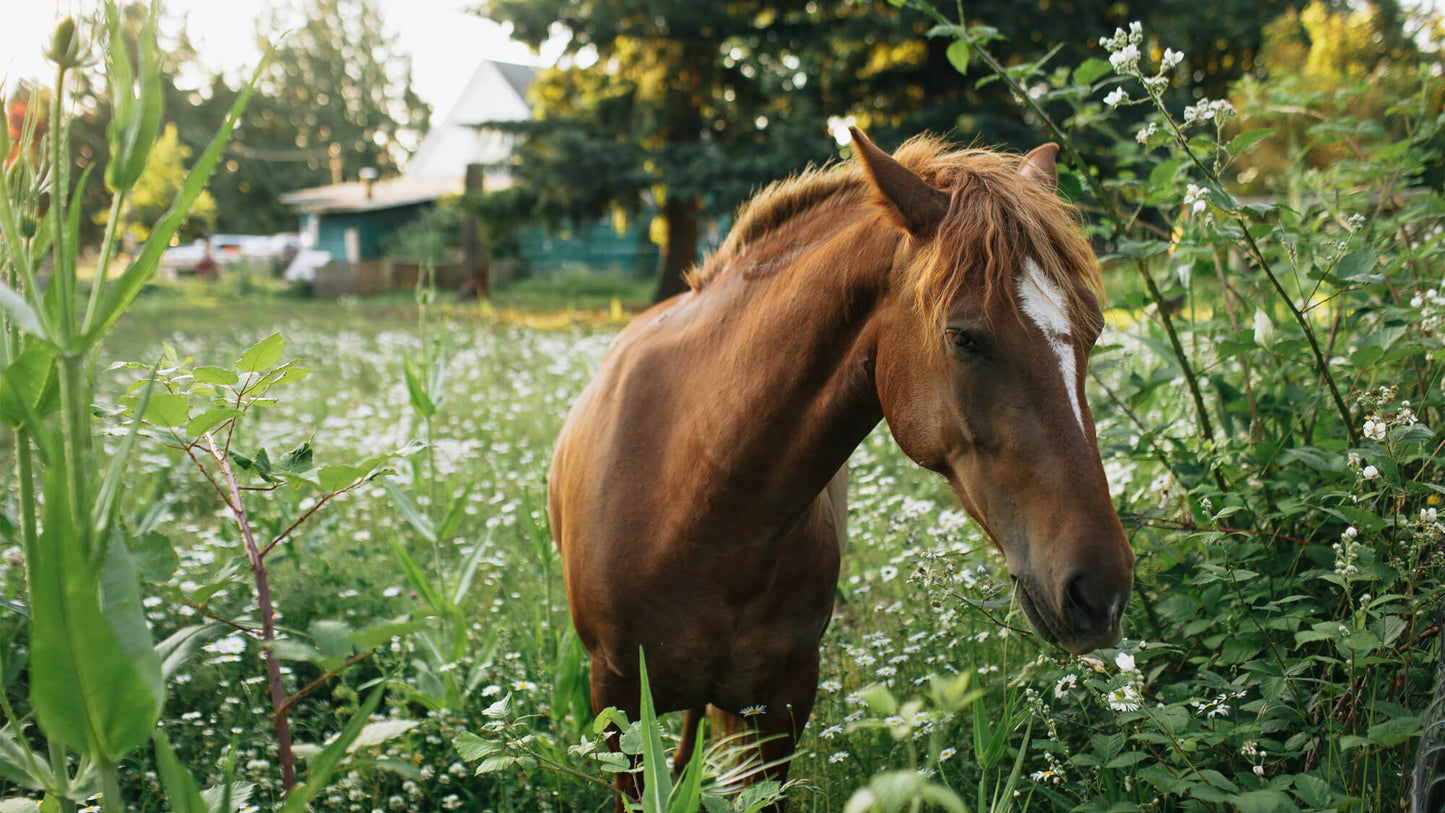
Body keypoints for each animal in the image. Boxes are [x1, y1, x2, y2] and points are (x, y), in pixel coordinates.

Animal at [546, 128, 1132, 808]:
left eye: (1093, 330)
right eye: (963, 336)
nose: (1101, 591)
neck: (696, 498)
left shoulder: (781, 705)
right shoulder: (617, 706)